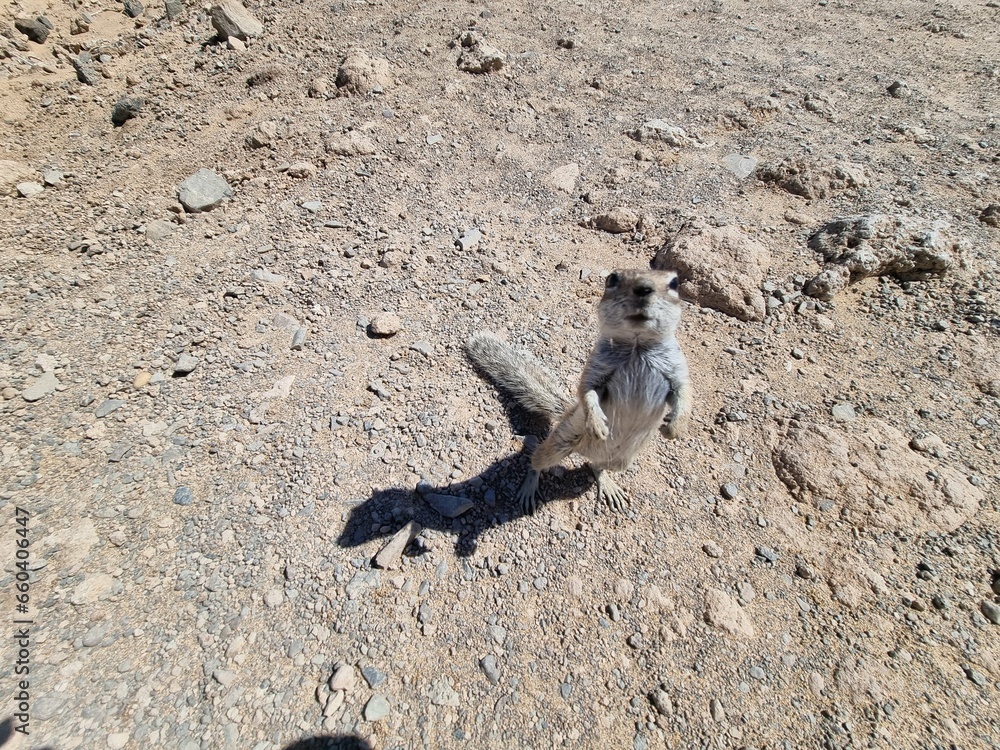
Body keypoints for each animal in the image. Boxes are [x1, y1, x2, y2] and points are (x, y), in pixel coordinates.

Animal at [466, 268, 692, 514]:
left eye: (675, 283)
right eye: (612, 278)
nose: (643, 289)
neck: (637, 345)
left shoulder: (678, 371)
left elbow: (684, 395)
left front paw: (675, 427)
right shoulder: (594, 370)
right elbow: (586, 392)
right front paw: (597, 423)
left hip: (621, 461)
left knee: (597, 466)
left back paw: (607, 483)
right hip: (561, 441)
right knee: (537, 460)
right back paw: (529, 487)